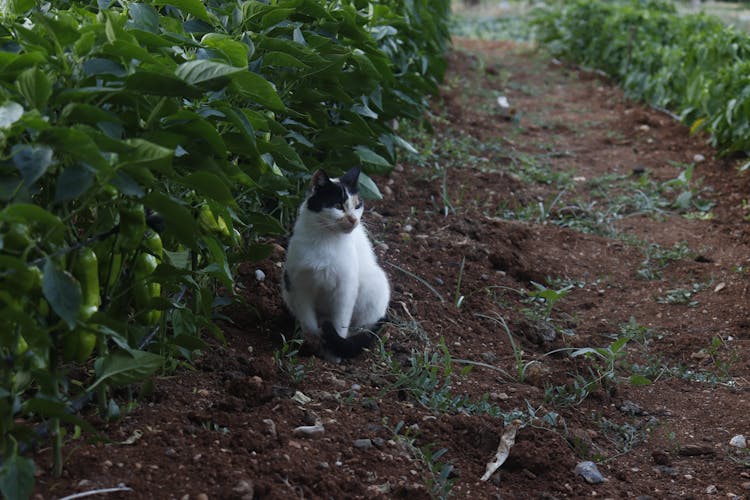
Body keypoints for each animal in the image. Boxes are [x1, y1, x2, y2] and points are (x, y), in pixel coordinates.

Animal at [280, 167, 390, 360]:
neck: (325, 240)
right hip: (287, 288)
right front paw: (313, 342)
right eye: (338, 206)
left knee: (363, 328)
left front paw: (333, 356)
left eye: (357, 205)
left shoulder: (345, 289)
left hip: (375, 286)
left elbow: (340, 323)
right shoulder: (299, 285)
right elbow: (308, 321)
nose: (354, 219)